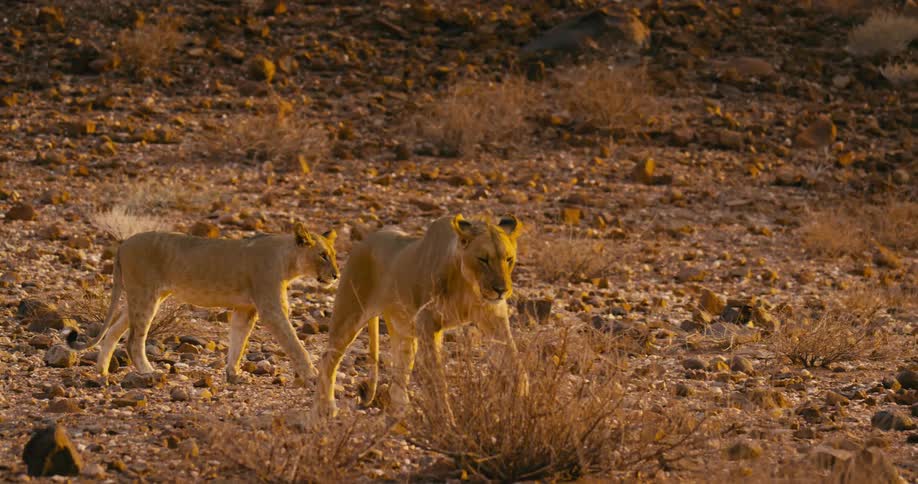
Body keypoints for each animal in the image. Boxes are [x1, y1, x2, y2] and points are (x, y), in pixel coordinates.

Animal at [65, 223, 338, 384]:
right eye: (323, 255)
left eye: (334, 255)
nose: (336, 275)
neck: (287, 259)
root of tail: (123, 244)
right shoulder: (271, 308)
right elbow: (295, 344)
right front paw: (313, 376)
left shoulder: (245, 308)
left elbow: (238, 342)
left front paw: (233, 374)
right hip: (145, 295)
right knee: (133, 340)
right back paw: (149, 372)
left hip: (142, 296)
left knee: (113, 330)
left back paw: (101, 371)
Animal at [314, 214, 528, 418]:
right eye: (483, 259)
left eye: (509, 259)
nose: (501, 290)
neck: (467, 284)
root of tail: (363, 242)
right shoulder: (427, 322)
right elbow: (437, 378)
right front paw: (446, 419)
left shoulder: (494, 317)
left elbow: (515, 361)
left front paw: (520, 401)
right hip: (349, 316)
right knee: (326, 361)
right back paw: (325, 409)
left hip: (404, 330)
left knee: (397, 380)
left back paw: (403, 414)